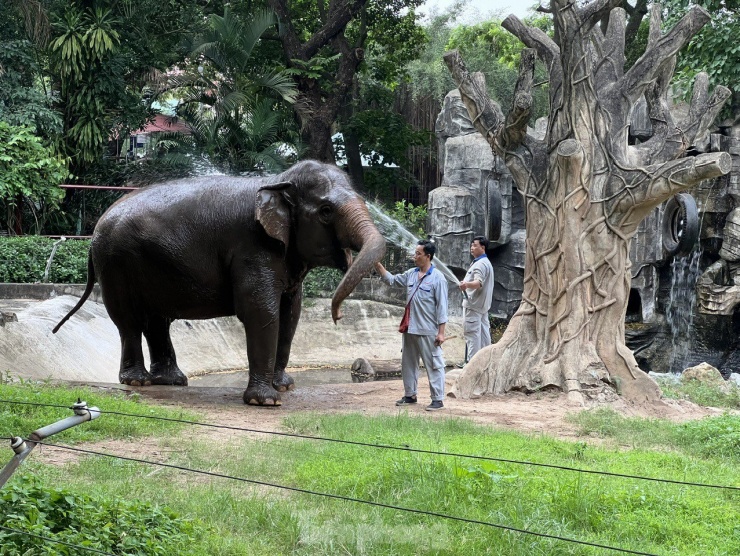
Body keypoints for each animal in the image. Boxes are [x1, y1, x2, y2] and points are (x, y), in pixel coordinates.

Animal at [52, 160, 388, 404]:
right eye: (326, 211)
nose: (338, 317)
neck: (279, 180)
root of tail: (97, 227)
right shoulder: (252, 247)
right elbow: (261, 312)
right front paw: (266, 401)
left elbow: (291, 313)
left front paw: (285, 387)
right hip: (115, 263)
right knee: (129, 320)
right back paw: (138, 381)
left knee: (157, 320)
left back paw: (172, 381)